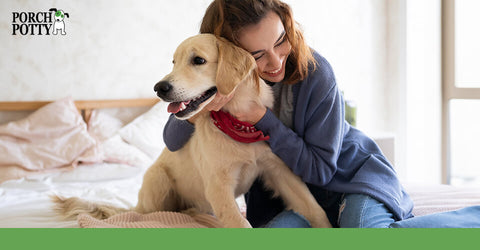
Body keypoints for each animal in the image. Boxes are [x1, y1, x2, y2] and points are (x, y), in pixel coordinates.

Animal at [52, 33, 330, 229]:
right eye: (174, 62)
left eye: (198, 60)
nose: (159, 87)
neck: (236, 122)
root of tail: (136, 204)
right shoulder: (218, 187)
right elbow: (240, 222)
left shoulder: (278, 170)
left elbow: (315, 208)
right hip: (158, 180)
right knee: (155, 213)